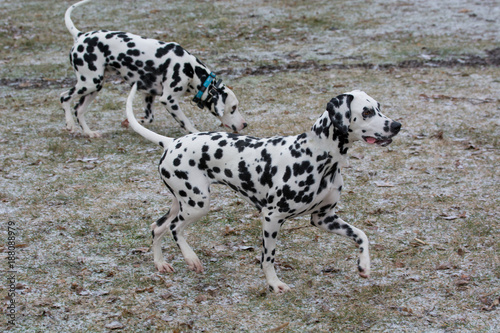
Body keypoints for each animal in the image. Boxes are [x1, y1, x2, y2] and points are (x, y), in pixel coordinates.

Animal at [59, 0, 247, 136]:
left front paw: (133, 123)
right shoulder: (169, 99)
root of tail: (80, 36)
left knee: (79, 110)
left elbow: (148, 119)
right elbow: (186, 122)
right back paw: (69, 124)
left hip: (94, 87)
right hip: (90, 83)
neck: (190, 70)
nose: (245, 124)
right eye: (233, 108)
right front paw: (195, 133)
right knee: (64, 98)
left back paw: (89, 133)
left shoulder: (149, 94)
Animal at [126, 83, 402, 294]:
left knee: (157, 227)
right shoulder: (271, 217)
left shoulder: (324, 219)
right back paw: (191, 258)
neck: (318, 155)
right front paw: (274, 284)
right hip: (197, 205)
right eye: (366, 112)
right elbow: (268, 257)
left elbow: (362, 235)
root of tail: (172, 142)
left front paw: (364, 265)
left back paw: (161, 264)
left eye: (379, 107)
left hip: (182, 202)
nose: (396, 125)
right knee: (174, 228)